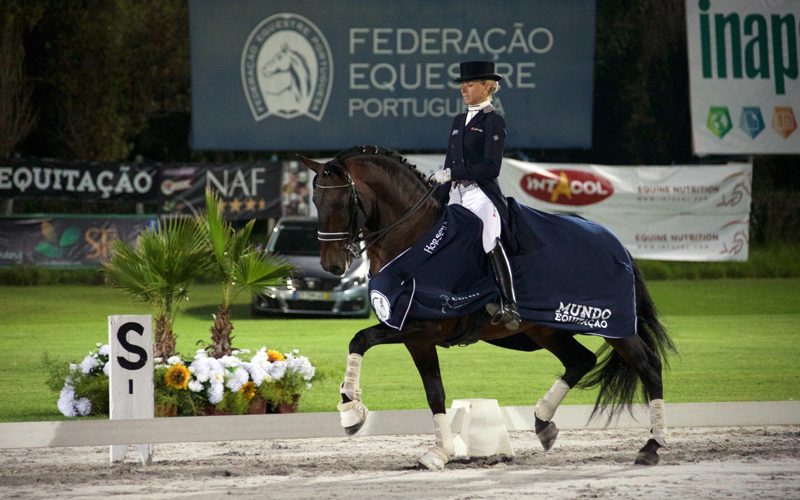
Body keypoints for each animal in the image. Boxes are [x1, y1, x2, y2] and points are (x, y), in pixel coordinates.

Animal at [300, 146, 676, 470]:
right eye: (316, 200)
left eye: (341, 201)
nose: (332, 265)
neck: (415, 239)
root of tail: (615, 243)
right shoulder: (413, 335)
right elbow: (432, 391)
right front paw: (438, 451)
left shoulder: (422, 326)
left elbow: (362, 341)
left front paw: (352, 412)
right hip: (545, 329)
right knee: (580, 360)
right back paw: (543, 423)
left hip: (614, 326)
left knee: (649, 366)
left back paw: (652, 447)